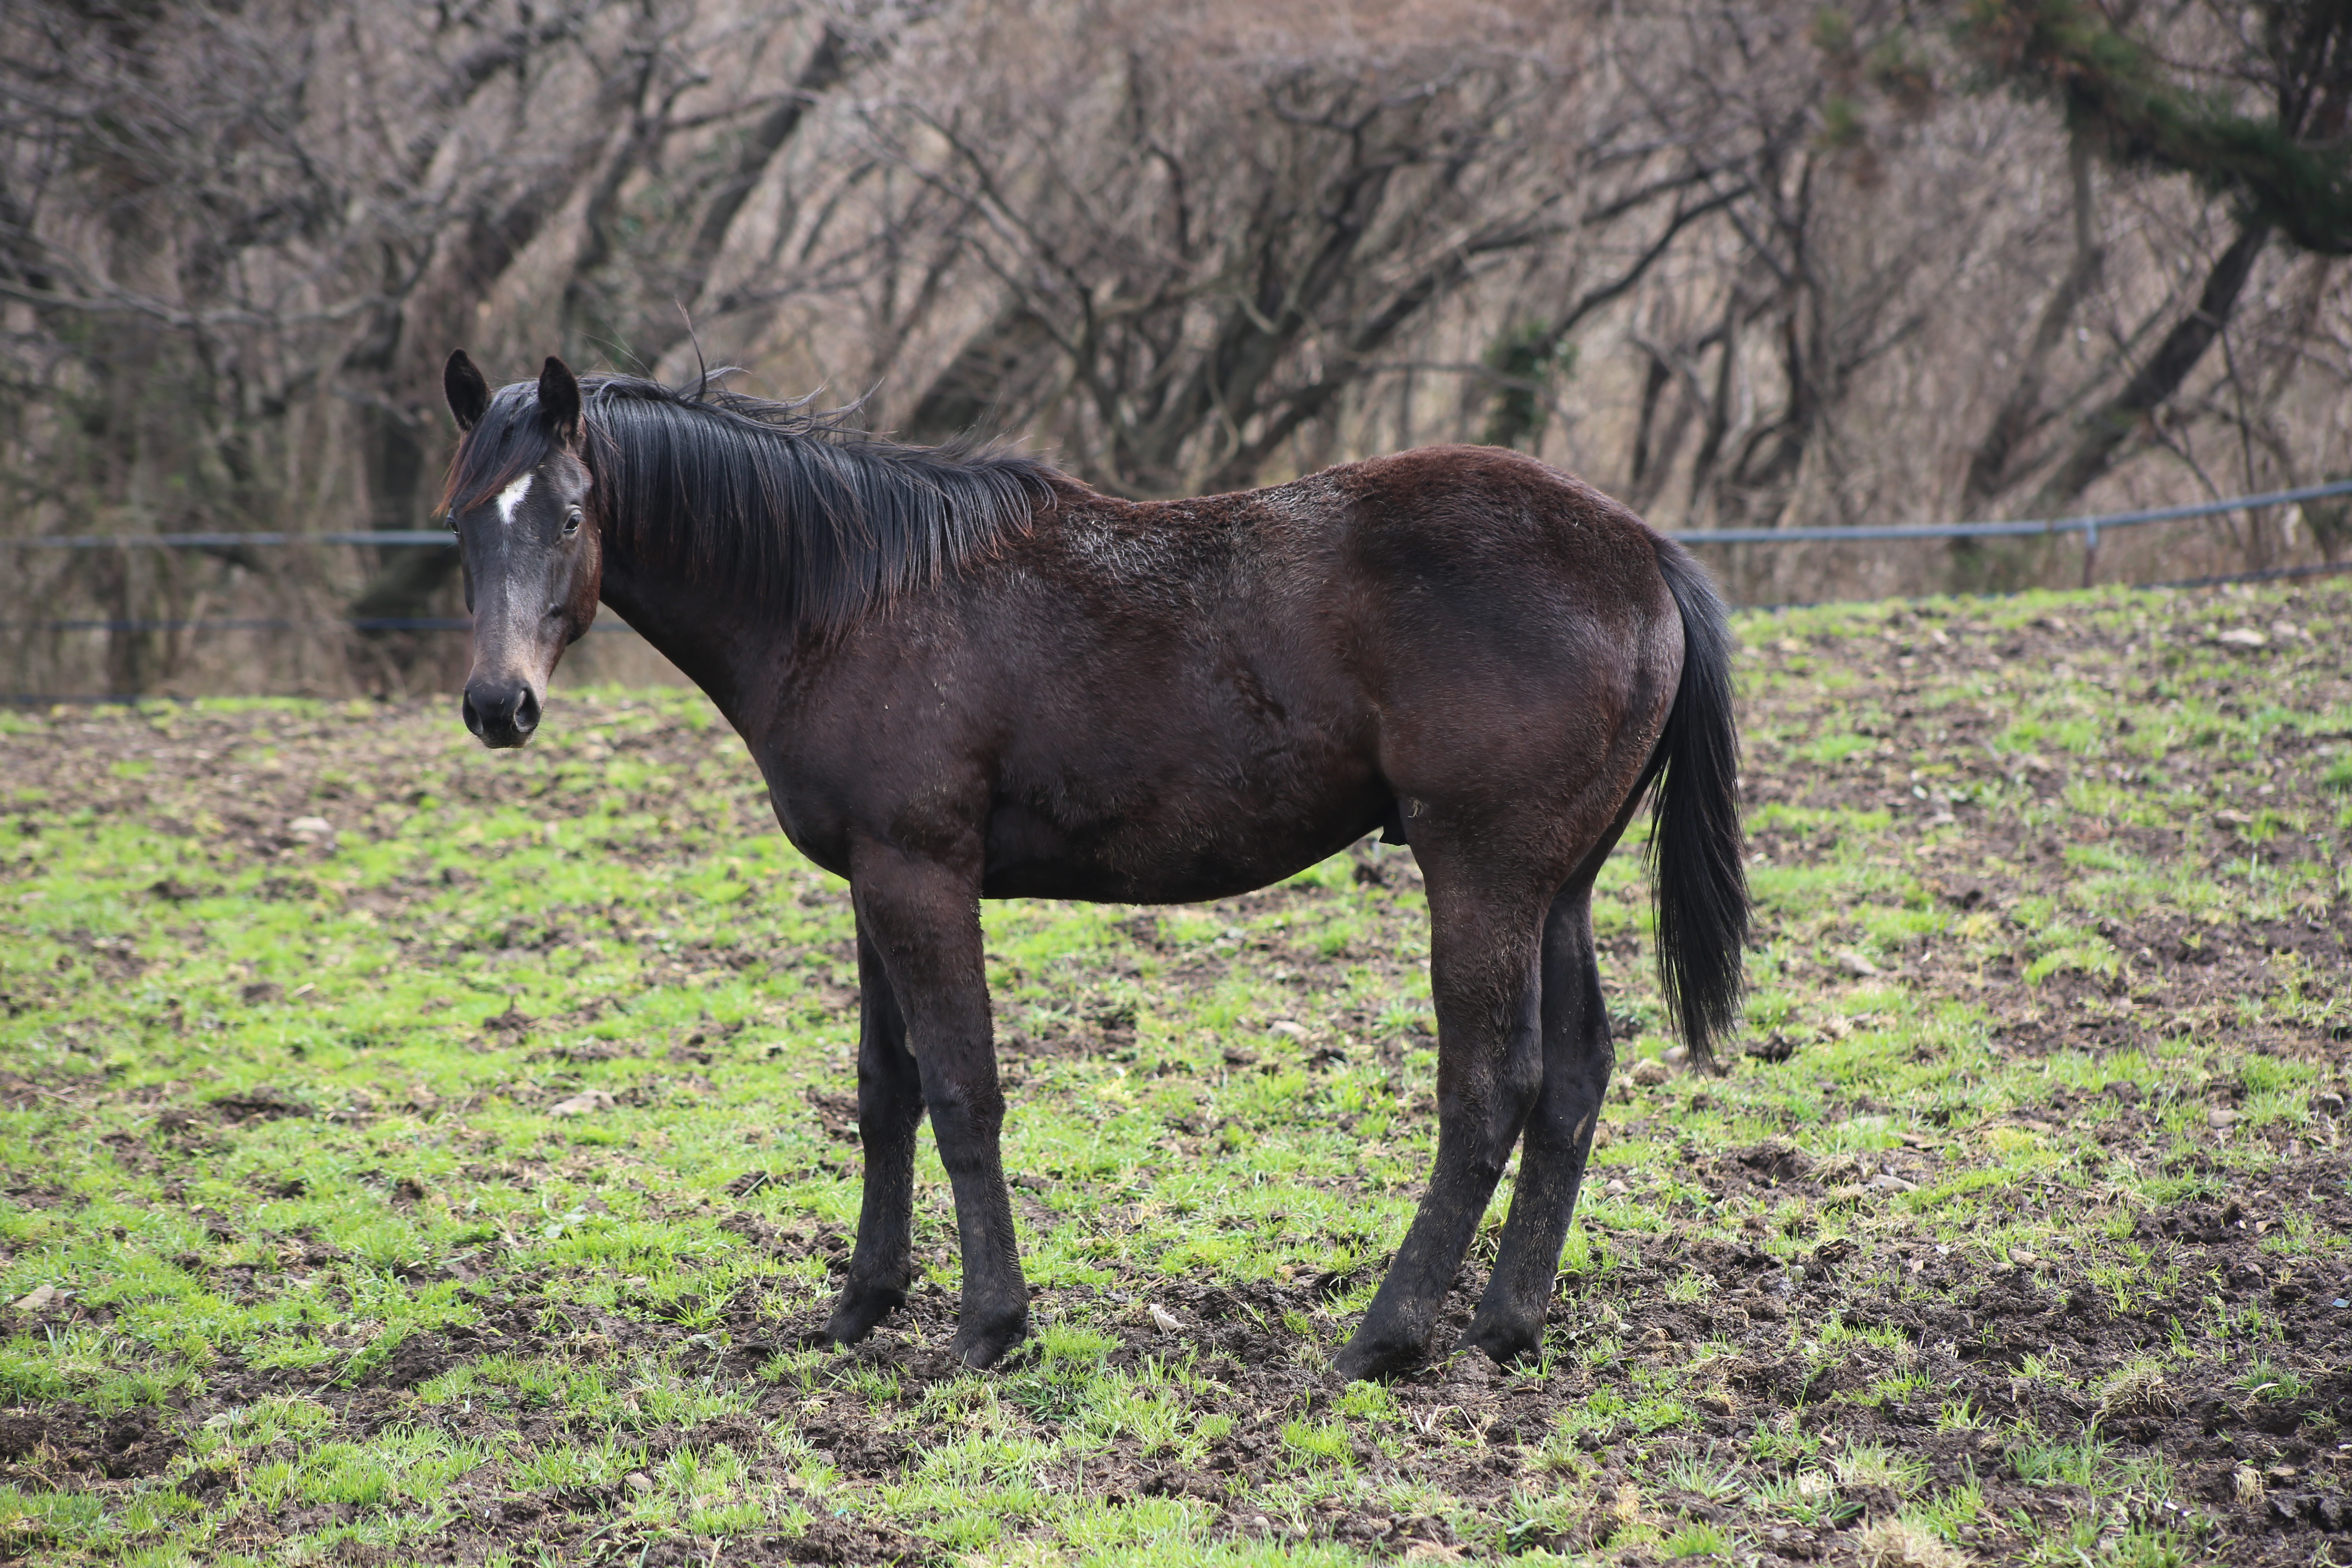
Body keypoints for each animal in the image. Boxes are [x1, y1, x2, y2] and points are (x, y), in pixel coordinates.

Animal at [437, 350, 1750, 1382]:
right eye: (461, 521)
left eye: (569, 516)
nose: (498, 707)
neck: (849, 597)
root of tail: (1643, 552)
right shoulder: (869, 883)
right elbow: (883, 1090)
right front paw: (860, 1307)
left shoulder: (920, 877)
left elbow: (961, 1091)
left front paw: (988, 1327)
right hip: (1557, 889)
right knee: (1573, 1081)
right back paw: (1504, 1328)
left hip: (1482, 878)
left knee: (1488, 1090)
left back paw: (1384, 1336)